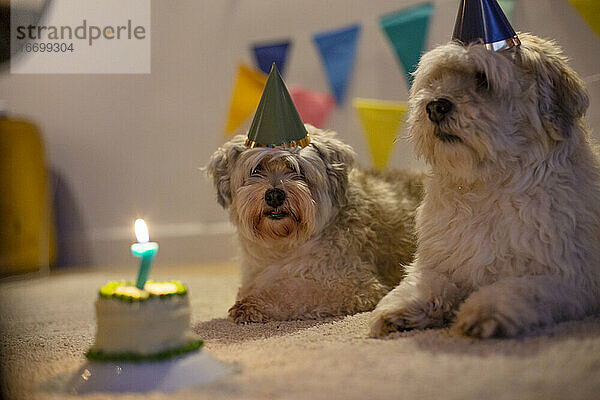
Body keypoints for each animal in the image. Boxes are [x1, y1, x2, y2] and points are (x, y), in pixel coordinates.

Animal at [207, 126, 422, 324]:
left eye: (297, 169)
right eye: (257, 169)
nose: (274, 195)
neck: (285, 246)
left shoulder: (353, 285)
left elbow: (292, 292)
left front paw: (252, 305)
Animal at [370, 32, 600, 338]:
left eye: (483, 78)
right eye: (437, 78)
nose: (435, 106)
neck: (485, 186)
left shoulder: (568, 277)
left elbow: (512, 289)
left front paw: (482, 313)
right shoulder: (439, 262)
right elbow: (425, 283)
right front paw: (398, 309)